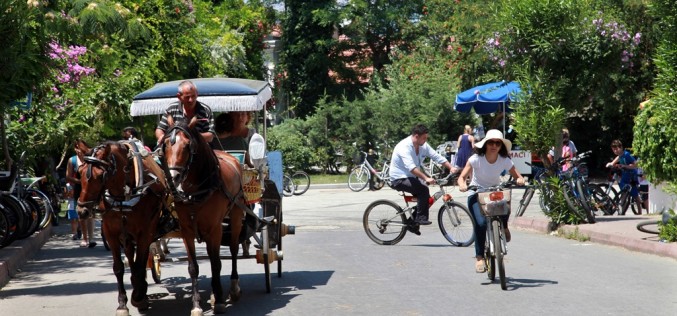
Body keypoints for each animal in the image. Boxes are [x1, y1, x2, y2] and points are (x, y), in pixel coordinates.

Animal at [75, 141, 166, 316]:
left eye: (100, 176)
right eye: (79, 172)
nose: (82, 211)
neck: (124, 194)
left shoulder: (145, 233)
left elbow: (140, 265)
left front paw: (138, 298)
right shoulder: (111, 232)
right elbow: (119, 268)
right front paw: (122, 304)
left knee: (140, 261)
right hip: (126, 235)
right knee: (131, 257)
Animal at [160, 119, 244, 316]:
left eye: (187, 145)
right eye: (165, 144)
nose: (173, 178)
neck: (195, 192)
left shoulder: (215, 229)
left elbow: (216, 263)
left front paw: (219, 301)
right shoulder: (187, 230)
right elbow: (193, 268)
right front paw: (197, 304)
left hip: (236, 216)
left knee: (234, 250)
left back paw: (233, 288)